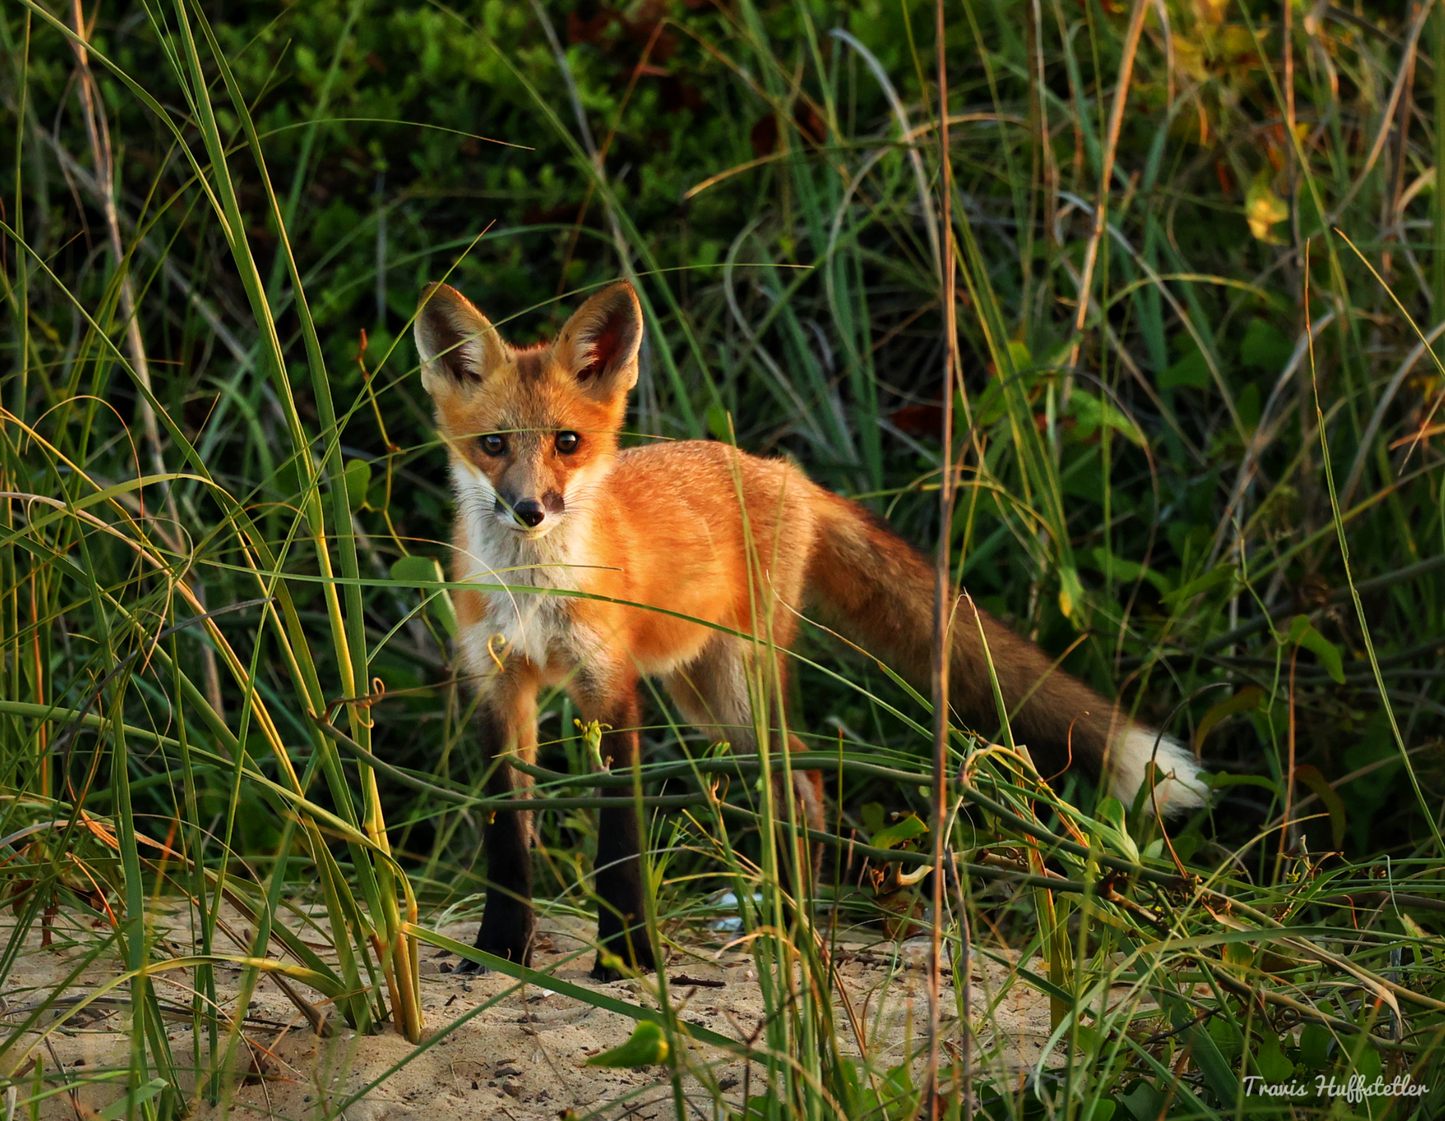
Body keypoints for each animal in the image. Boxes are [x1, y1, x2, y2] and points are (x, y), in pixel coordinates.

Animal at [416, 277, 1208, 970]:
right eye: (493, 445)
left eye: (568, 442)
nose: (529, 510)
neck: (531, 591)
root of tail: (784, 472)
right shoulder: (497, 685)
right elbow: (506, 837)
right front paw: (499, 947)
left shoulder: (609, 689)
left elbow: (618, 845)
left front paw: (628, 960)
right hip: (703, 699)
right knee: (797, 783)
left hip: (739, 689)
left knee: (804, 782)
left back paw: (793, 923)